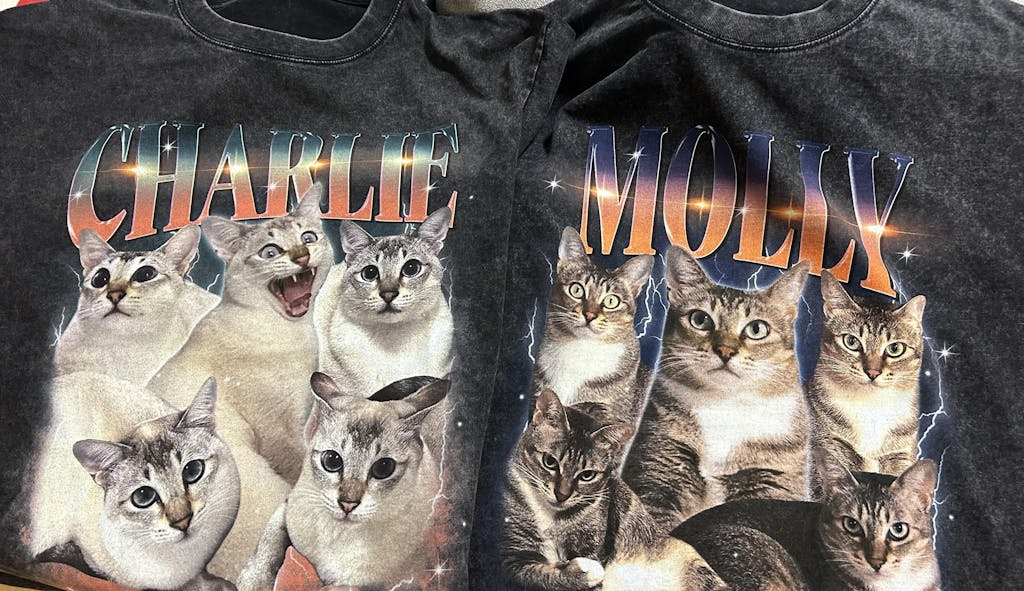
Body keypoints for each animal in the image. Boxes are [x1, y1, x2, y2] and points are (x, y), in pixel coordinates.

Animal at [236, 373, 449, 591]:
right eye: (332, 460)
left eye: (383, 468)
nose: (348, 503)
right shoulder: (290, 505)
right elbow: (270, 540)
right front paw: (255, 581)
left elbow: (338, 587)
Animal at [501, 389, 727, 591]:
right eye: (550, 461)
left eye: (587, 475)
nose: (562, 495)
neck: (553, 517)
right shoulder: (514, 556)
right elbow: (538, 574)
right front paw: (585, 571)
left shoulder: (595, 543)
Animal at [623, 246, 811, 531]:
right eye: (700, 319)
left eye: (757, 329)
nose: (725, 350)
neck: (725, 406)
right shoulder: (660, 462)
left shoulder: (772, 480)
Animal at [807, 270, 926, 490]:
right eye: (852, 342)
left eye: (895, 348)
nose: (872, 372)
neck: (871, 407)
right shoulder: (828, 447)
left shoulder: (900, 455)